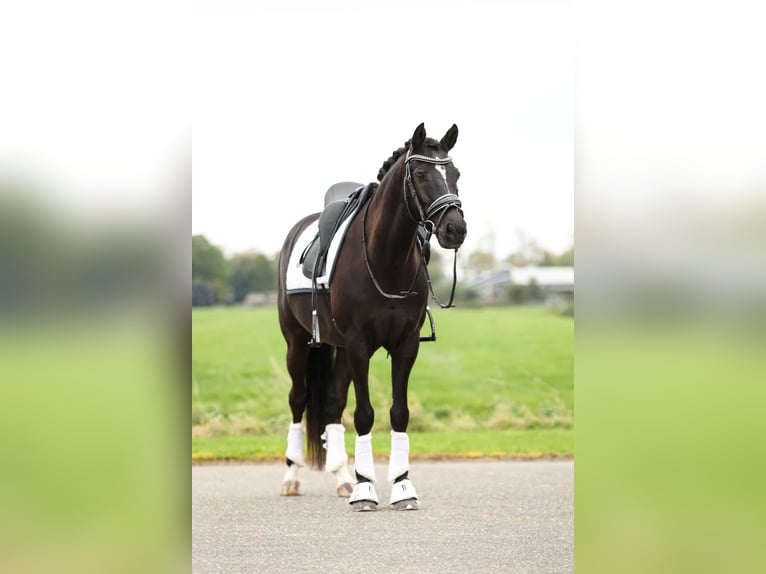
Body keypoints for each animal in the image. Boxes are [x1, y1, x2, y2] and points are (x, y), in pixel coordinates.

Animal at [276, 123, 467, 511]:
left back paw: (342, 477)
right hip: (298, 343)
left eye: (455, 174)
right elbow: (364, 415)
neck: (385, 259)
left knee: (332, 401)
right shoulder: (359, 344)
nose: (456, 228)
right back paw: (292, 477)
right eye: (421, 174)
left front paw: (402, 486)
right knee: (298, 400)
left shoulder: (406, 345)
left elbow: (399, 413)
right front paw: (366, 490)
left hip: (339, 349)